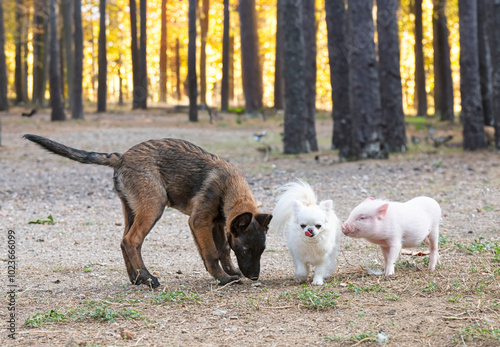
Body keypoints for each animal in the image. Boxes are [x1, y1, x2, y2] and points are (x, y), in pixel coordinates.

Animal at [23, 135, 272, 290]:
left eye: (262, 250)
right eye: (246, 250)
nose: (254, 276)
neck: (229, 186)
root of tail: (122, 156)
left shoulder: (218, 224)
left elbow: (223, 250)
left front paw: (231, 272)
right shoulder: (199, 221)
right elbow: (211, 254)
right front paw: (222, 279)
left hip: (133, 209)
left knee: (125, 241)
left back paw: (136, 278)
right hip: (154, 205)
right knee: (131, 240)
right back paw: (147, 278)